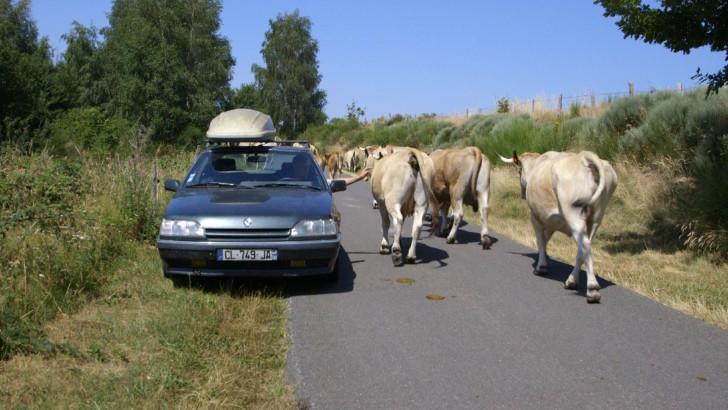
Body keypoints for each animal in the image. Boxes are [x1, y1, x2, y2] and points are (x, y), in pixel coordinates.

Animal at [504, 152, 616, 302]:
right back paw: (572, 281)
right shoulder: (552, 221)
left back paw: (592, 289)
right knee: (582, 249)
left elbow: (540, 241)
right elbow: (545, 239)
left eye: (519, 171)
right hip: (596, 218)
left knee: (585, 246)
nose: (522, 194)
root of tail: (584, 157)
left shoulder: (535, 217)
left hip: (573, 214)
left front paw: (541, 266)